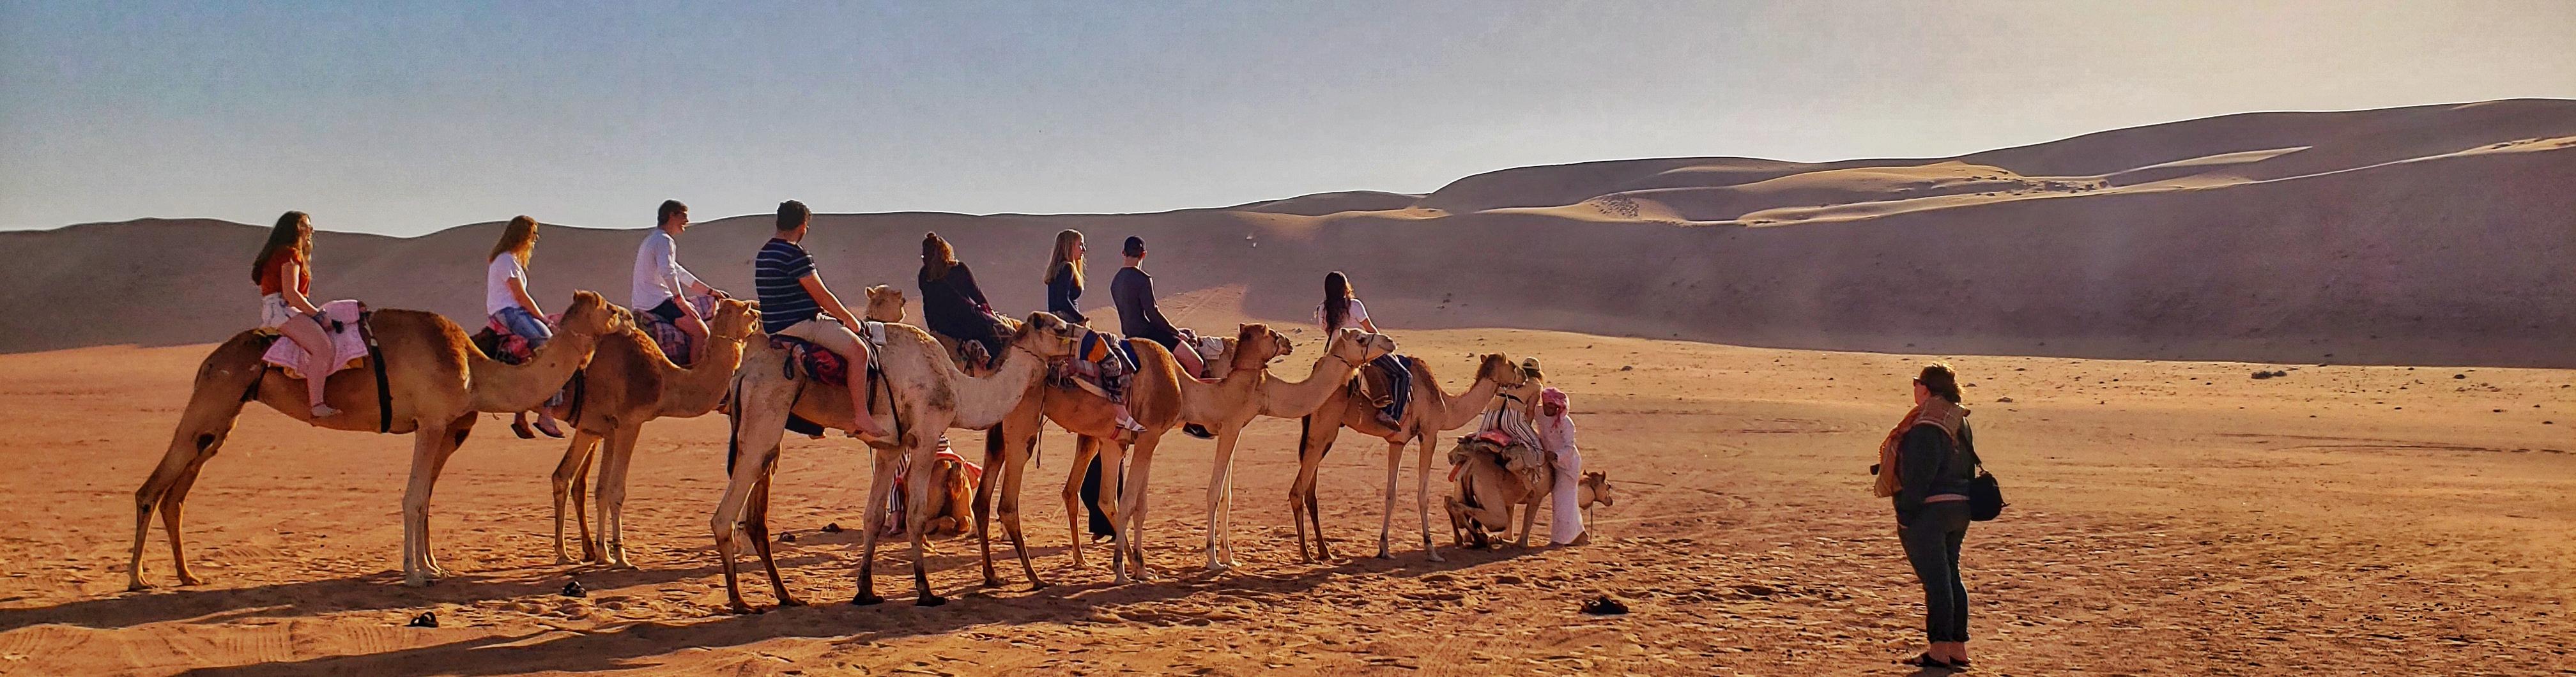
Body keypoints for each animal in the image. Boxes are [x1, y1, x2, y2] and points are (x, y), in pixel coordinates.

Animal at [128, 291, 631, 589]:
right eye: (607, 307)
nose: (628, 317)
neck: (478, 369)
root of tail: (209, 359)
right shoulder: (432, 422)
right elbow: (414, 498)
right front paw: (415, 573)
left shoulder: (437, 425)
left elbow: (424, 499)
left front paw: (432, 567)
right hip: (213, 399)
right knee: (150, 490)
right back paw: (137, 580)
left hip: (222, 418)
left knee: (176, 494)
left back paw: (186, 575)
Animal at [538, 297, 752, 568]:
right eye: (751, 315)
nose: (760, 319)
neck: (665, 381)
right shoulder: (630, 423)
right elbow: (616, 490)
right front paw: (621, 556)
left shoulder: (607, 427)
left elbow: (601, 490)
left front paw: (603, 553)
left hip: (588, 428)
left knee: (563, 477)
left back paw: (564, 553)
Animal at [716, 310, 1077, 612]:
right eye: (1059, 328)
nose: (1082, 337)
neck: (958, 389)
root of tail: (742, 373)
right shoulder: (926, 436)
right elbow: (915, 516)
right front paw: (926, 591)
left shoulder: (890, 447)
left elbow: (873, 516)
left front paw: (865, 591)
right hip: (765, 411)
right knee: (728, 511)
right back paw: (740, 602)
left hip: (768, 426)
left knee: (758, 509)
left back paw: (786, 596)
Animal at [1282, 353, 1514, 566]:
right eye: (1513, 366)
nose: (1523, 377)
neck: (1446, 405)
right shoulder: (1429, 434)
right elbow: (1423, 496)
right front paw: (1431, 550)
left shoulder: (1397, 442)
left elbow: (1390, 494)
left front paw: (1384, 549)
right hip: (1325, 427)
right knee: (1298, 490)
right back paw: (1306, 555)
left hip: (1322, 432)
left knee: (1310, 491)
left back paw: (1324, 551)